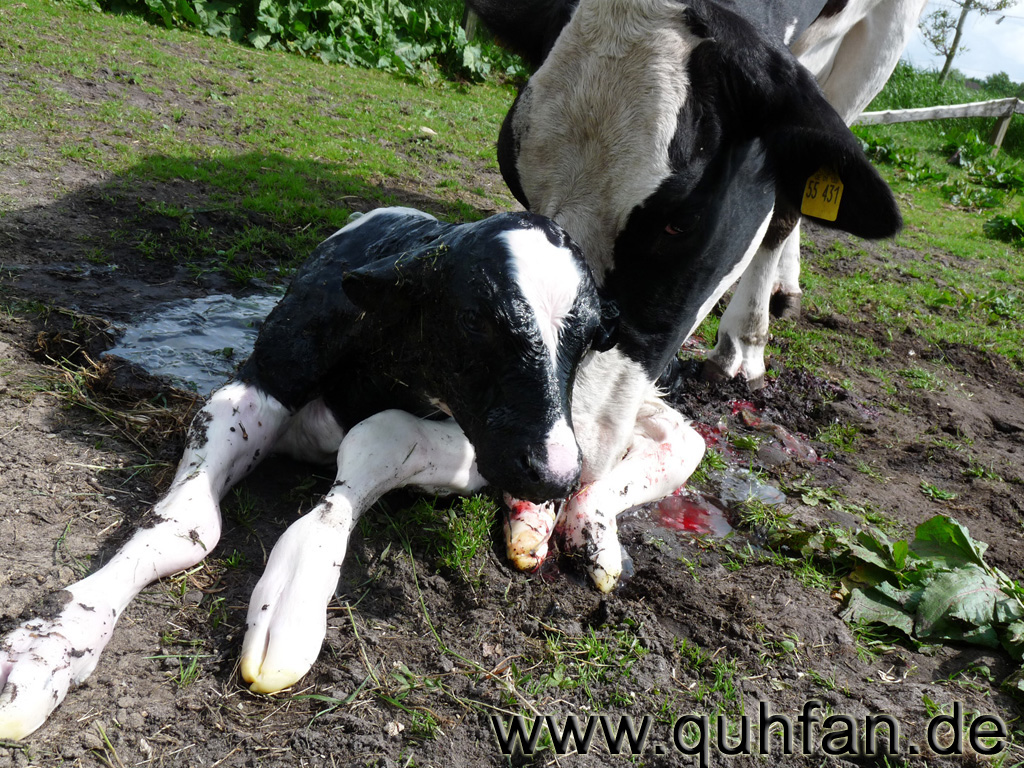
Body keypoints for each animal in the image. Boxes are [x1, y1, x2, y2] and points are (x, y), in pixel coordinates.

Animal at [0, 205, 614, 741]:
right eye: (473, 319)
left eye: (588, 341)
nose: (554, 473)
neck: (380, 365)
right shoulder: (261, 381)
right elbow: (184, 524)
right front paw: (48, 645)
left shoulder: (474, 448)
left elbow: (373, 442)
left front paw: (294, 598)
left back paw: (538, 524)